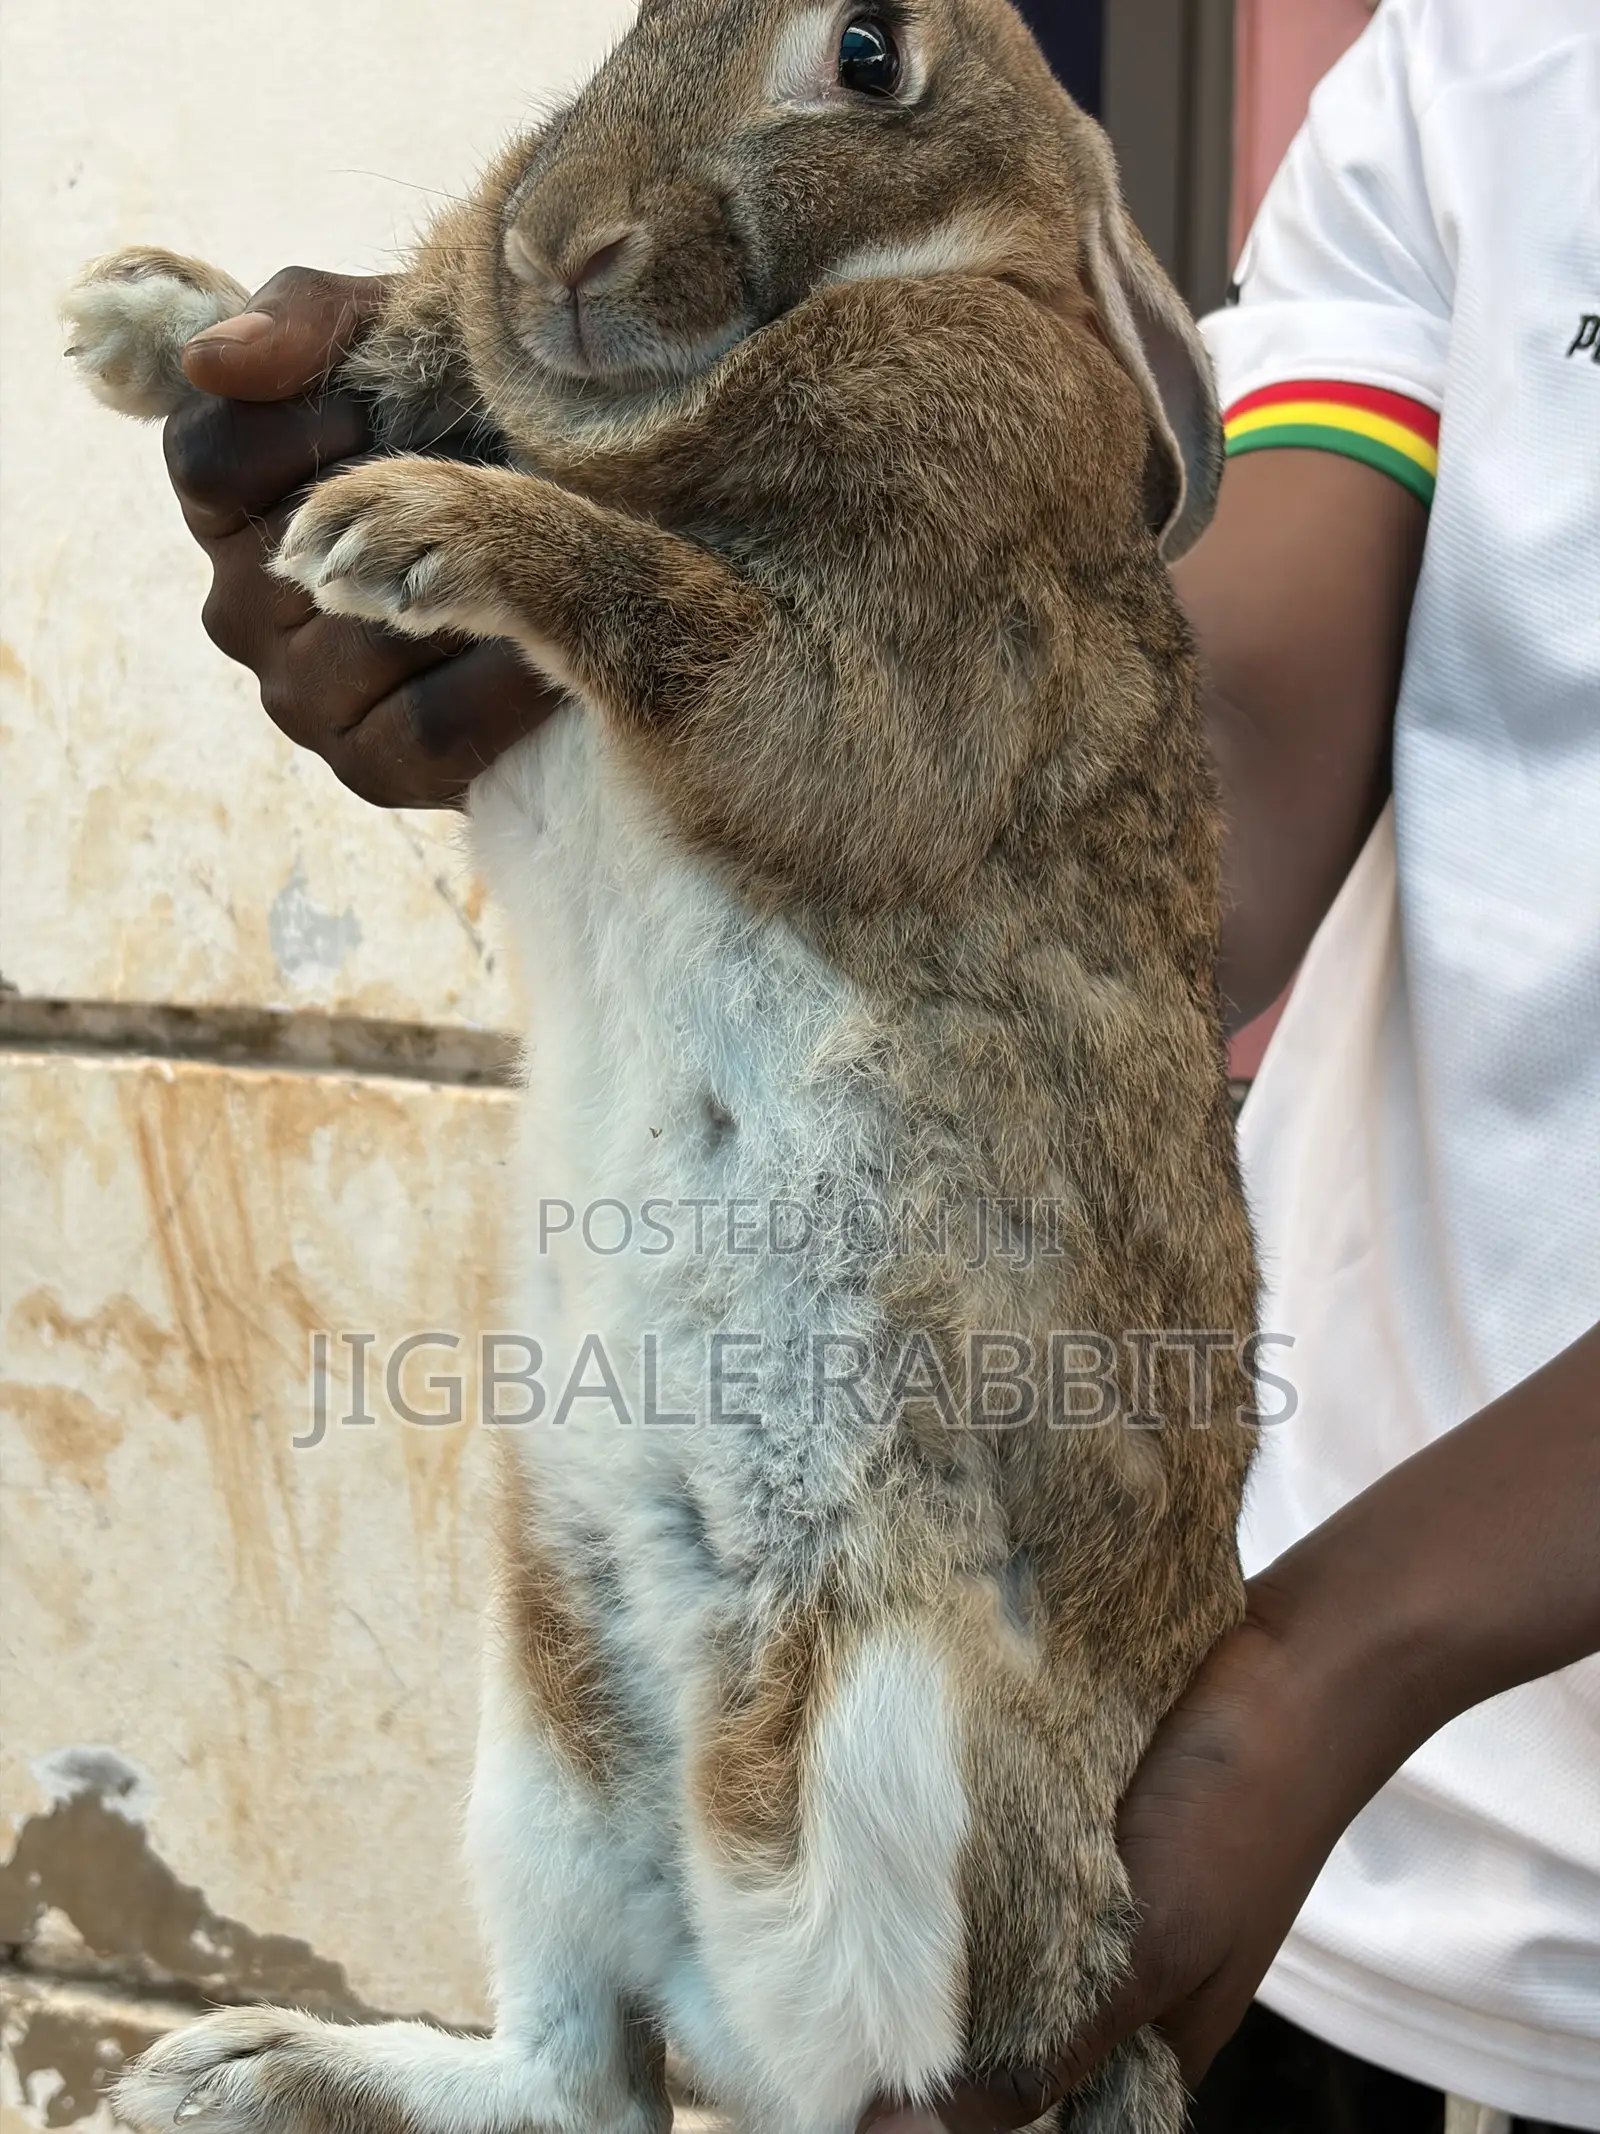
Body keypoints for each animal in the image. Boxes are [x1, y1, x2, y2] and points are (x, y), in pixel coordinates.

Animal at [63, 3, 1259, 2132]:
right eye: (629, 26)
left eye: (866, 52)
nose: (552, 245)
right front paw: (148, 317)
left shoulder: (890, 658)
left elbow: (696, 631)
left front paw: (402, 531)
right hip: (543, 1722)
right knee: (581, 2072)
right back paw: (249, 2063)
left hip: (868, 1739)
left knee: (819, 2054)